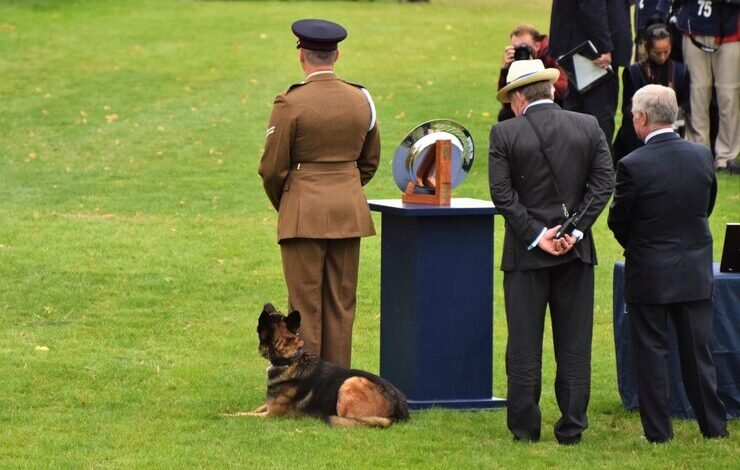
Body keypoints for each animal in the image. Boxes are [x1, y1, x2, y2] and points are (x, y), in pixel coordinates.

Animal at [247, 302, 410, 428]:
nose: (266, 304)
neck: (291, 360)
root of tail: (399, 411)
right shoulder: (268, 407)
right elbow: (256, 408)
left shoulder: (271, 415)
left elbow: (245, 415)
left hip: (350, 382)